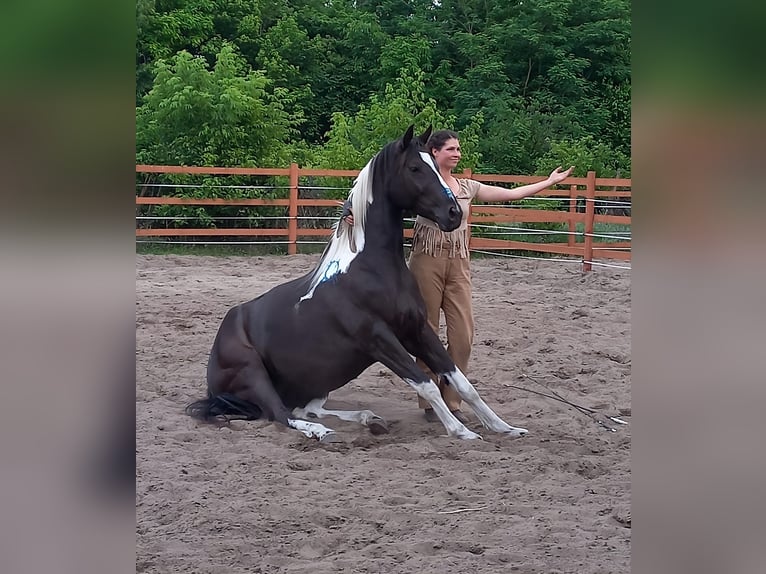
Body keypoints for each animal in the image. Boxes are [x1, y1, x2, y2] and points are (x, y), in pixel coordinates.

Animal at [189, 125, 532, 440]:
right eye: (415, 168)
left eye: (437, 165)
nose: (454, 213)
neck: (371, 271)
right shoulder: (378, 339)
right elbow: (427, 384)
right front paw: (461, 431)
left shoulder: (417, 331)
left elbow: (461, 382)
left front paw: (504, 427)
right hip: (254, 374)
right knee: (281, 413)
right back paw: (321, 432)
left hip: (317, 382)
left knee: (305, 408)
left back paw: (368, 418)